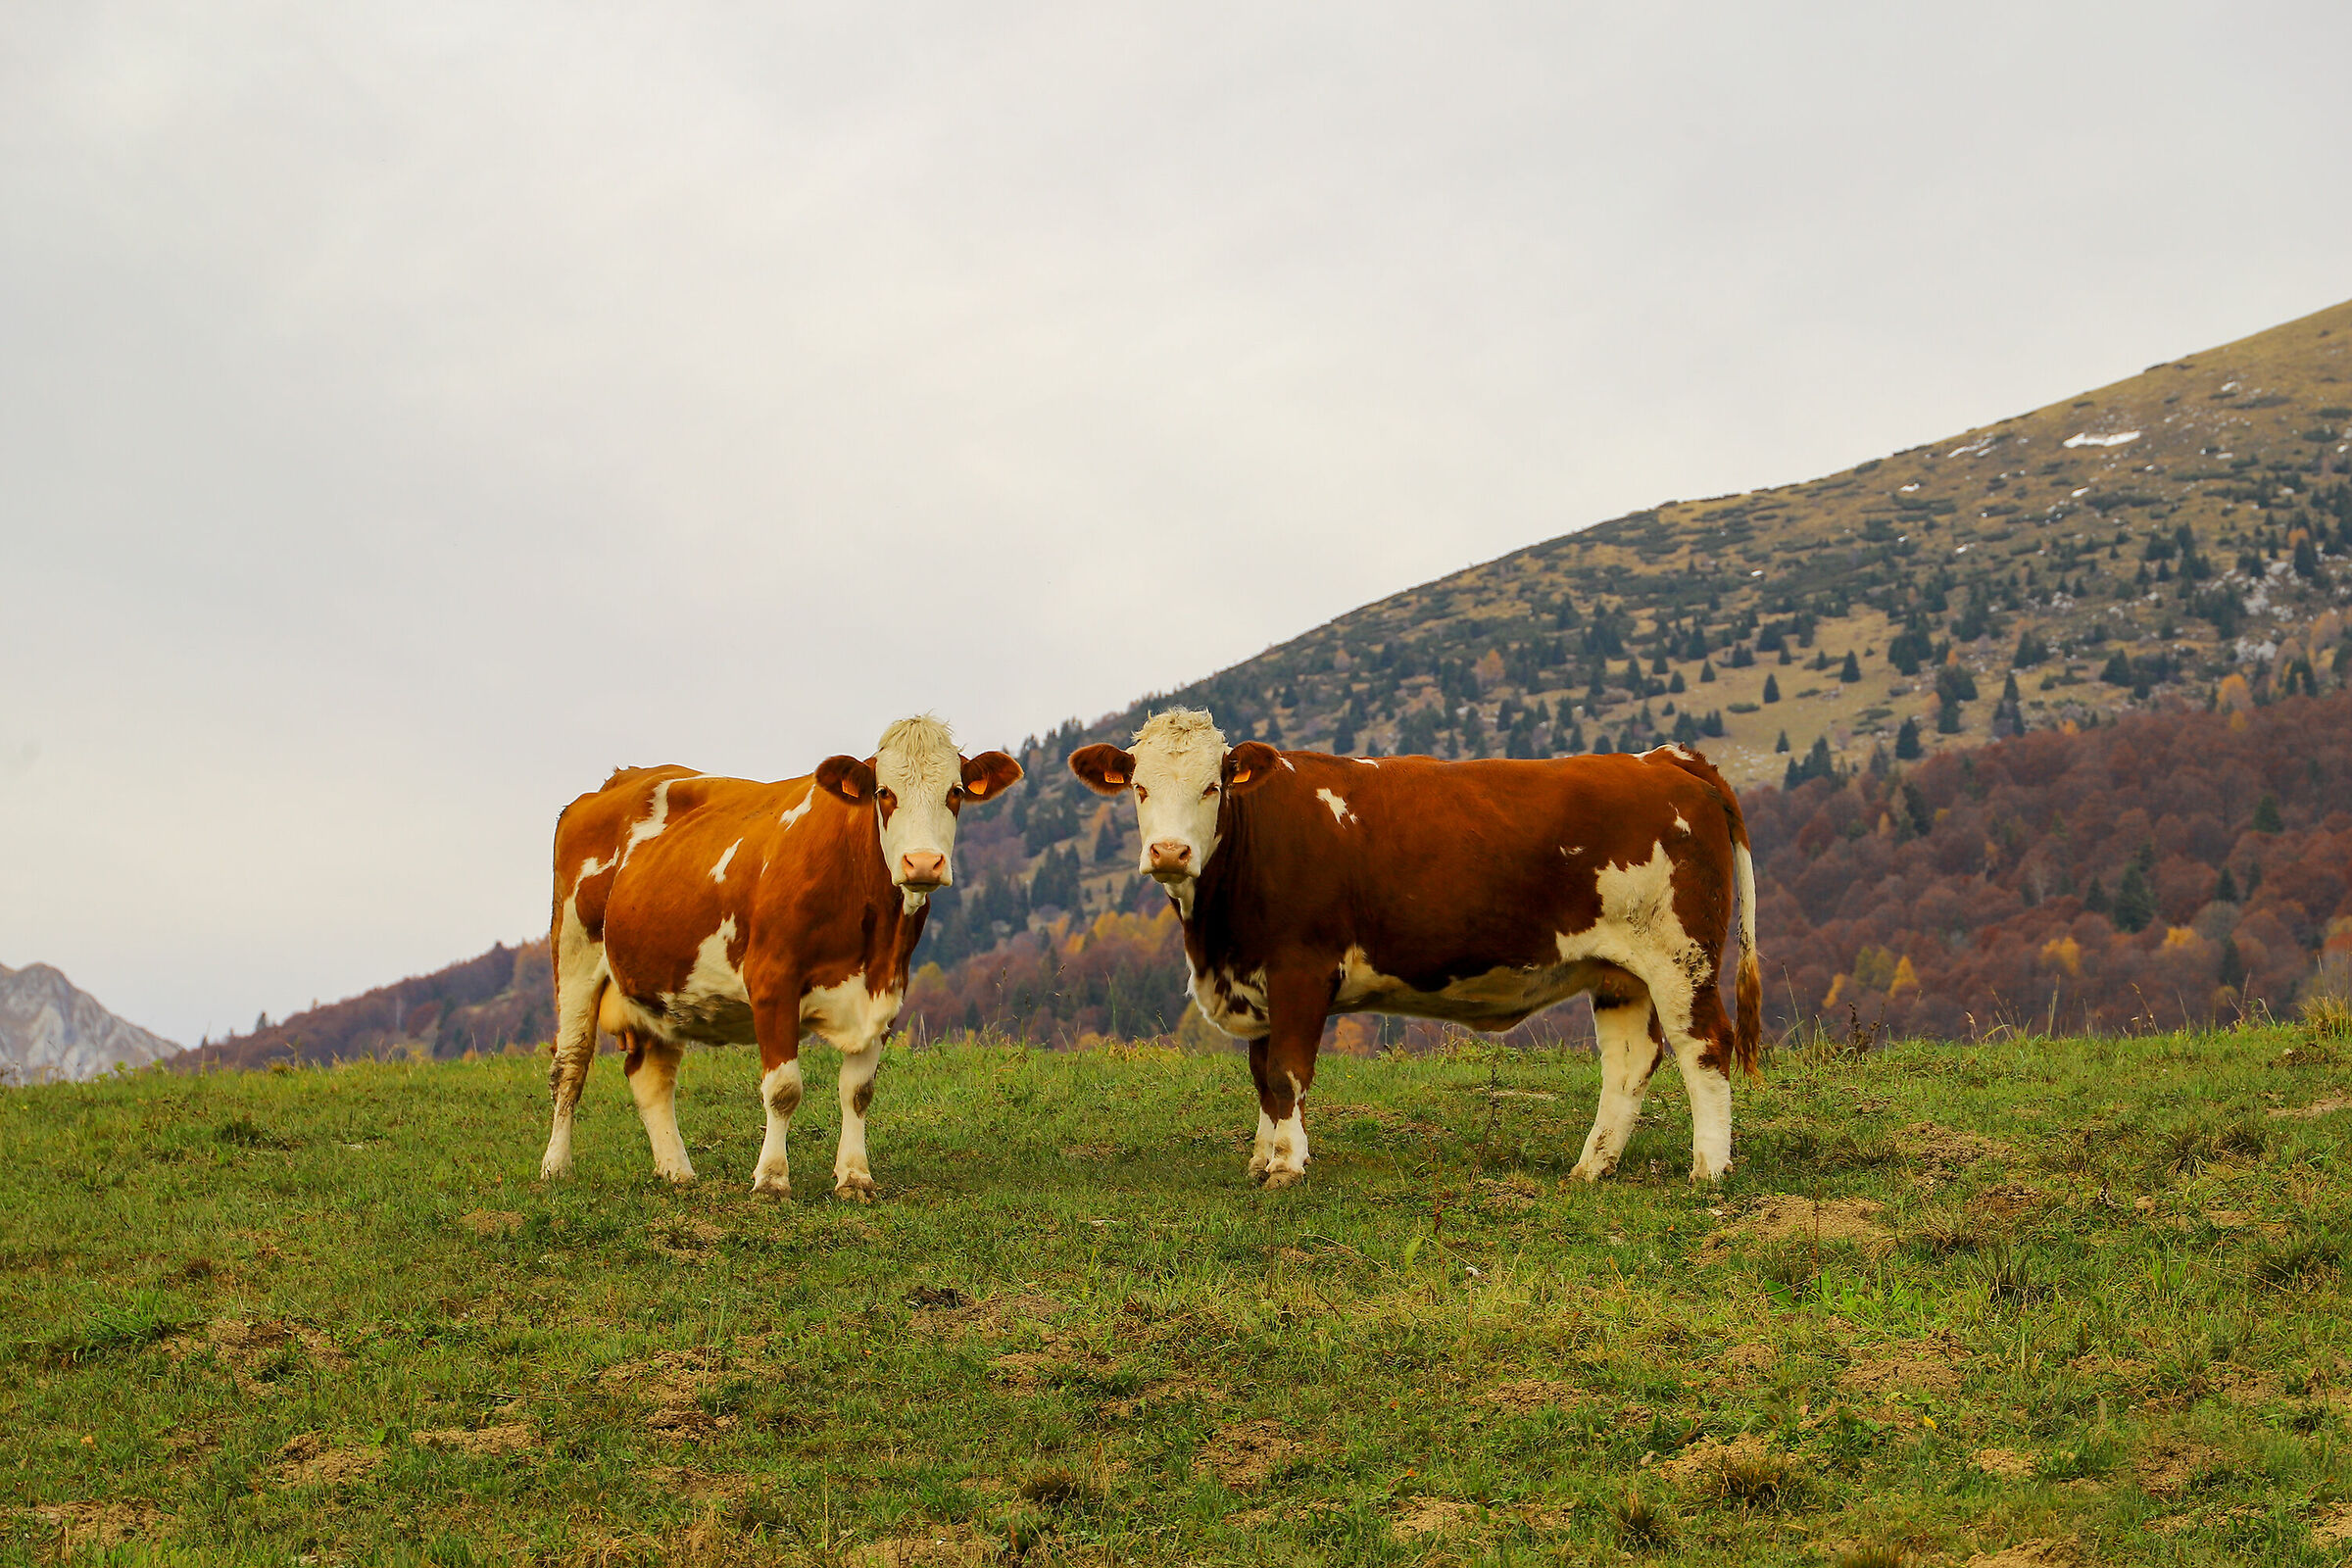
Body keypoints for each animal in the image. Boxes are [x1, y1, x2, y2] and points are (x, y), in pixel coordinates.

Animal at [538, 716, 1022, 1199]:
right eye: (884, 792)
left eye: (955, 792)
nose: (922, 863)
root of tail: (616, 780)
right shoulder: (773, 982)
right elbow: (784, 1088)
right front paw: (771, 1179)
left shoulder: (887, 990)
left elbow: (858, 1090)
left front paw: (855, 1176)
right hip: (575, 955)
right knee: (571, 1064)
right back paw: (556, 1167)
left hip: (662, 985)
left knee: (652, 1075)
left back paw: (677, 1170)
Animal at [1070, 709, 1760, 1187]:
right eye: (1139, 788)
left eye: (1212, 787)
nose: (1169, 851)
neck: (1215, 935)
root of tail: (1660, 758)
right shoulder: (1256, 978)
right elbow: (1263, 1075)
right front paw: (1262, 1160)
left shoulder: (1300, 966)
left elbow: (1287, 1069)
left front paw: (1288, 1166)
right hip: (1620, 971)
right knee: (1630, 1060)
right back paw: (1592, 1168)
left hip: (1682, 957)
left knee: (1704, 1046)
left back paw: (1709, 1169)